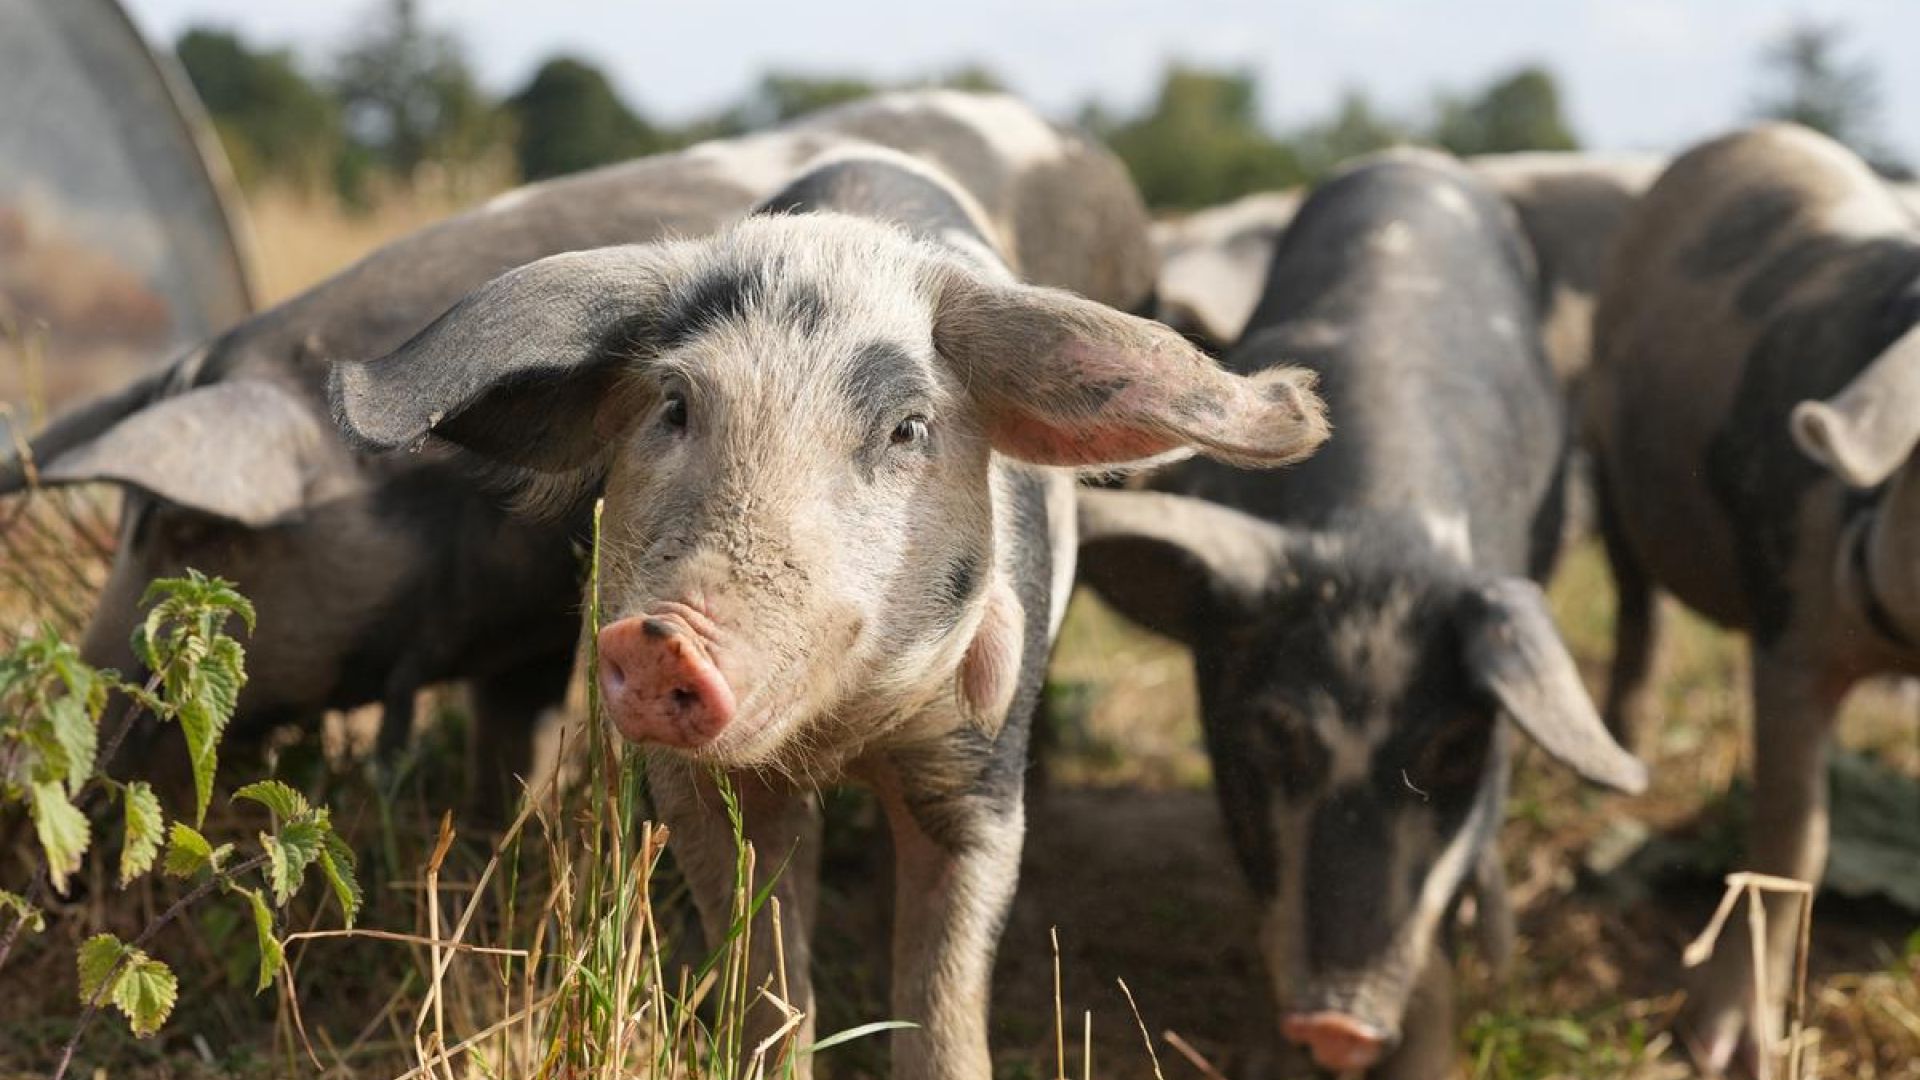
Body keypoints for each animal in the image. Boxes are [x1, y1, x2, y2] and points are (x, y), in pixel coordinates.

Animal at [322, 145, 1328, 1076]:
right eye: (675, 404)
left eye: (907, 429)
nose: (667, 639)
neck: (843, 735)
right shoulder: (696, 787)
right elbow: (763, 968)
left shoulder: (976, 767)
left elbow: (944, 993)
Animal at [1589, 123, 1920, 1068]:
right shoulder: (1787, 626)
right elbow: (1794, 836)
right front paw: (1724, 1055)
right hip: (1608, 463)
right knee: (1638, 614)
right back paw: (1624, 763)